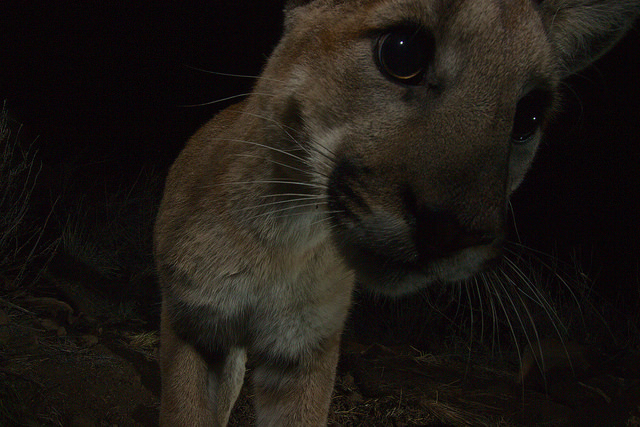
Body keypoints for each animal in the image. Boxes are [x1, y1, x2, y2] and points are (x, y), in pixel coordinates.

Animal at [156, 1, 640, 426]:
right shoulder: (194, 326)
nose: (453, 232)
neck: (288, 238)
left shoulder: (305, 349)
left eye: (529, 116)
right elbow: (186, 413)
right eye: (402, 52)